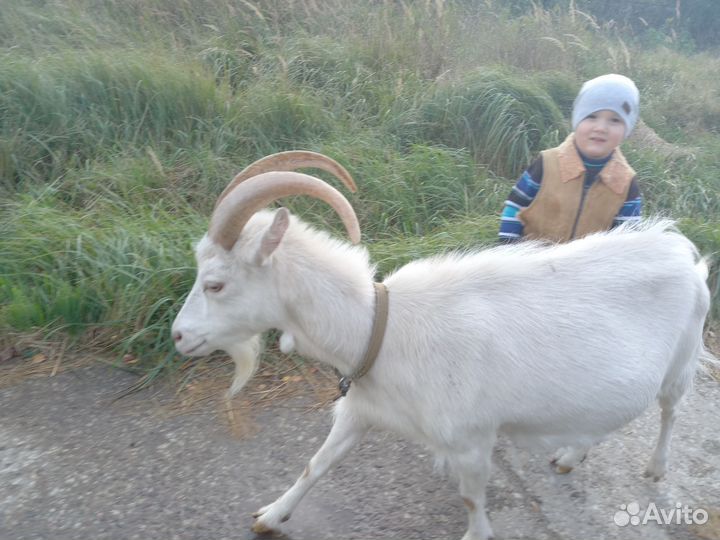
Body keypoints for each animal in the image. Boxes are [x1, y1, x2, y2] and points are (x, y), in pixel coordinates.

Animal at [171, 152, 711, 540]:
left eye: (215, 284)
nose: (179, 336)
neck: (381, 330)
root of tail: (683, 252)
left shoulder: (470, 442)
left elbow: (473, 499)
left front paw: (478, 534)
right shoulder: (361, 410)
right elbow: (315, 463)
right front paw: (271, 516)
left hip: (682, 360)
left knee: (671, 410)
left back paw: (656, 468)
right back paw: (569, 456)